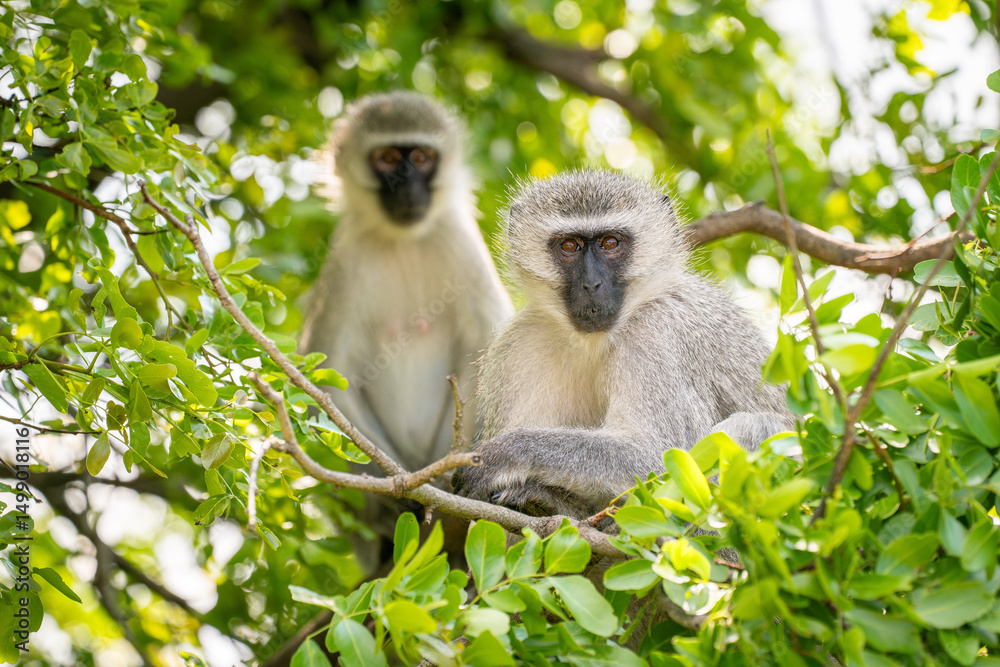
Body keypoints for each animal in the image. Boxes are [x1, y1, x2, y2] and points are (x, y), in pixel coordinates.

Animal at [300, 91, 513, 569]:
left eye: (420, 157)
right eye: (385, 159)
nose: (406, 185)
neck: (405, 241)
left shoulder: (461, 243)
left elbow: (491, 353)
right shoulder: (346, 260)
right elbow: (330, 378)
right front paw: (401, 494)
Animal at [452, 170, 792, 518]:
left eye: (610, 243)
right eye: (569, 245)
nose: (591, 284)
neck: (595, 342)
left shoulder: (656, 333)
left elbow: (656, 453)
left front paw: (505, 454)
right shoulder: (522, 345)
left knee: (753, 427)